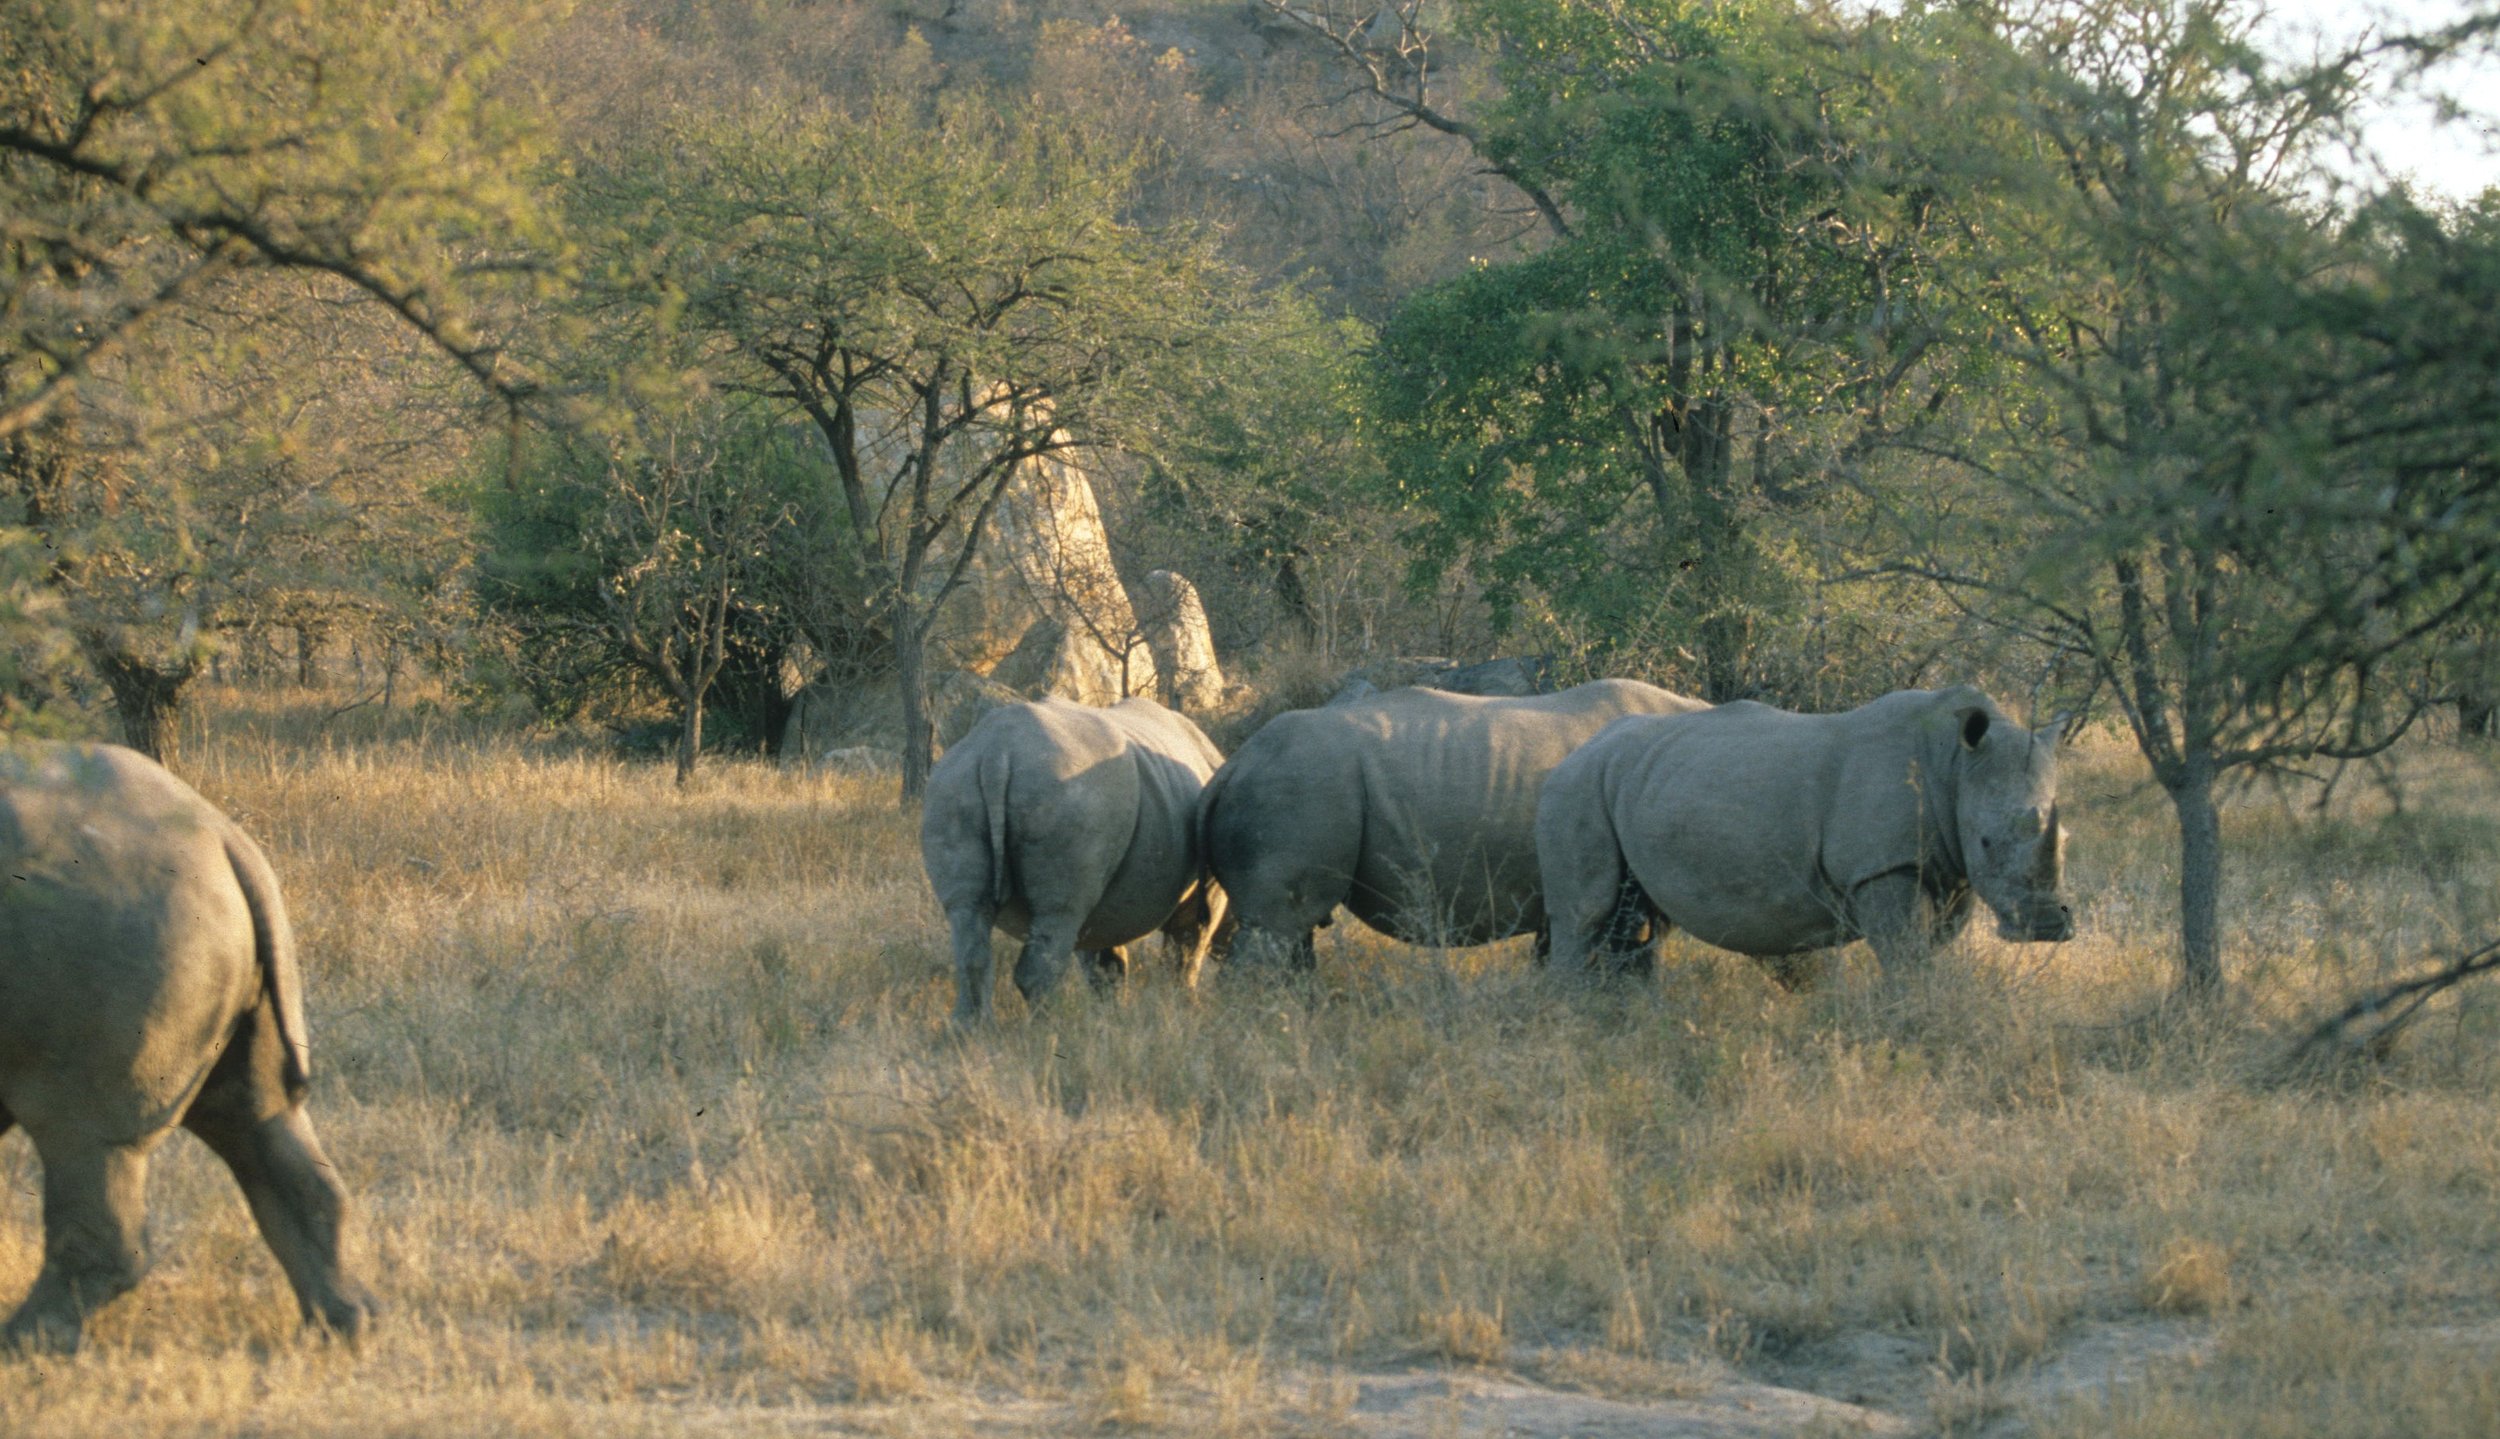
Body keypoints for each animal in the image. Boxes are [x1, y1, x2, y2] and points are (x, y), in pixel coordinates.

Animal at [0, 741, 376, 1353]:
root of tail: (220, 836)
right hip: (190, 920)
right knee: (255, 1114)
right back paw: (340, 1330)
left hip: (117, 916)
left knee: (86, 1134)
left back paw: (24, 1343)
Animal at [922, 697, 1230, 1025]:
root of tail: (997, 752)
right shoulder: (1207, 889)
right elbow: (1187, 951)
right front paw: (1185, 1007)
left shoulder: (1107, 902)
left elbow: (1104, 959)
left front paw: (1110, 1014)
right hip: (1066, 793)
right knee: (1059, 913)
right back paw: (1048, 1027)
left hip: (954, 787)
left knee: (968, 914)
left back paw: (971, 1029)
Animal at [1537, 686, 2074, 978]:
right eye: (1986, 841)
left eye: (2066, 840)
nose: (2047, 927)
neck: (1956, 765)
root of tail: (1576, 750)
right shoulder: (1883, 865)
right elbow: (1906, 954)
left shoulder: (1948, 868)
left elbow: (1931, 948)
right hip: (1577, 786)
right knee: (1585, 915)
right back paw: (1574, 1020)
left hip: (1637, 780)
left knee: (1637, 921)